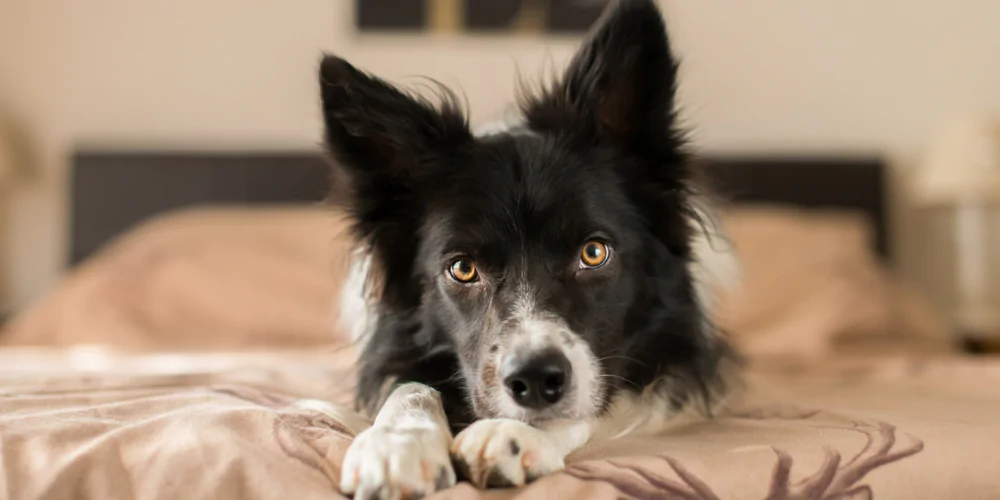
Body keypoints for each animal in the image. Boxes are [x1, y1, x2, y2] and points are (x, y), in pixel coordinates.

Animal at [316, 1, 740, 498]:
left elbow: (602, 397)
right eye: (462, 268)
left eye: (594, 253)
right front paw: (396, 443)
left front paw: (515, 433)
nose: (536, 379)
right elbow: (410, 387)